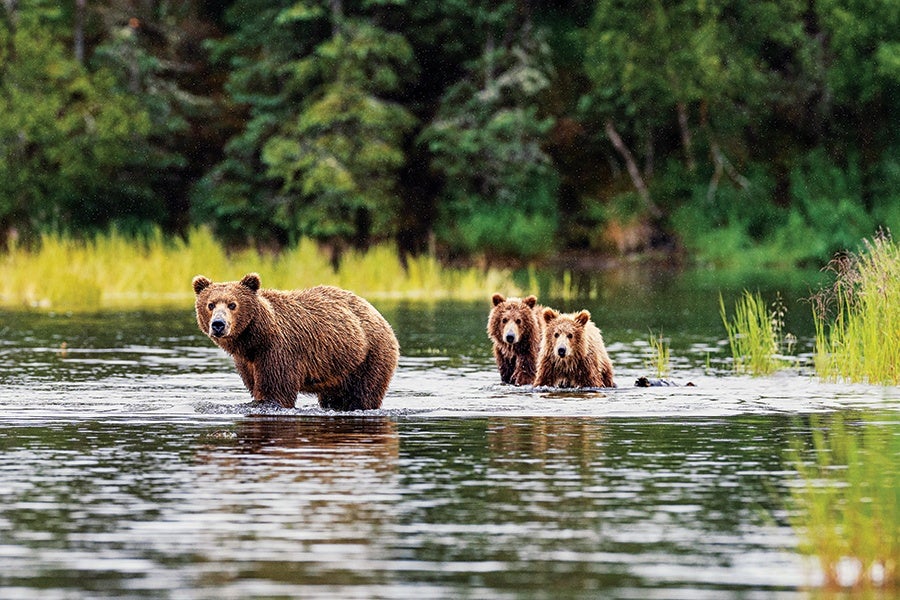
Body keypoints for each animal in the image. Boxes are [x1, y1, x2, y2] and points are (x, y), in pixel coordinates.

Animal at [192, 273, 399, 411]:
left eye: (232, 304)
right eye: (210, 305)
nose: (218, 324)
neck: (254, 339)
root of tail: (375, 312)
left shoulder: (279, 350)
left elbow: (275, 392)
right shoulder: (247, 361)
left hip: (370, 356)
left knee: (364, 393)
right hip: (339, 369)